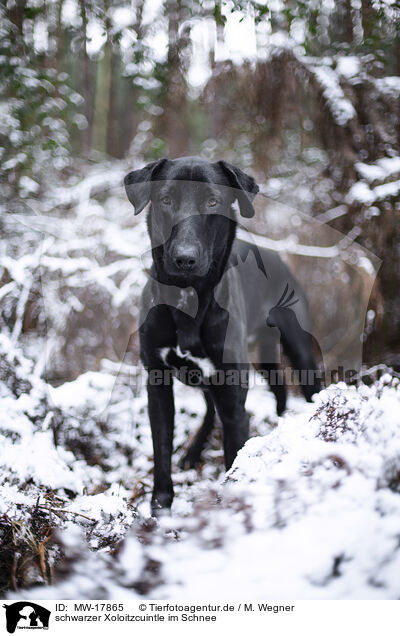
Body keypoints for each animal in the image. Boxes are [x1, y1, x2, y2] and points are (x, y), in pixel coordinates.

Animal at [123, 157, 320, 516]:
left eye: (213, 201)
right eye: (166, 199)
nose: (184, 258)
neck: (189, 300)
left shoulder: (234, 401)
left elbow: (234, 461)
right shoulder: (158, 386)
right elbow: (161, 453)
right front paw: (160, 509)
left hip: (297, 347)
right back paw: (194, 452)